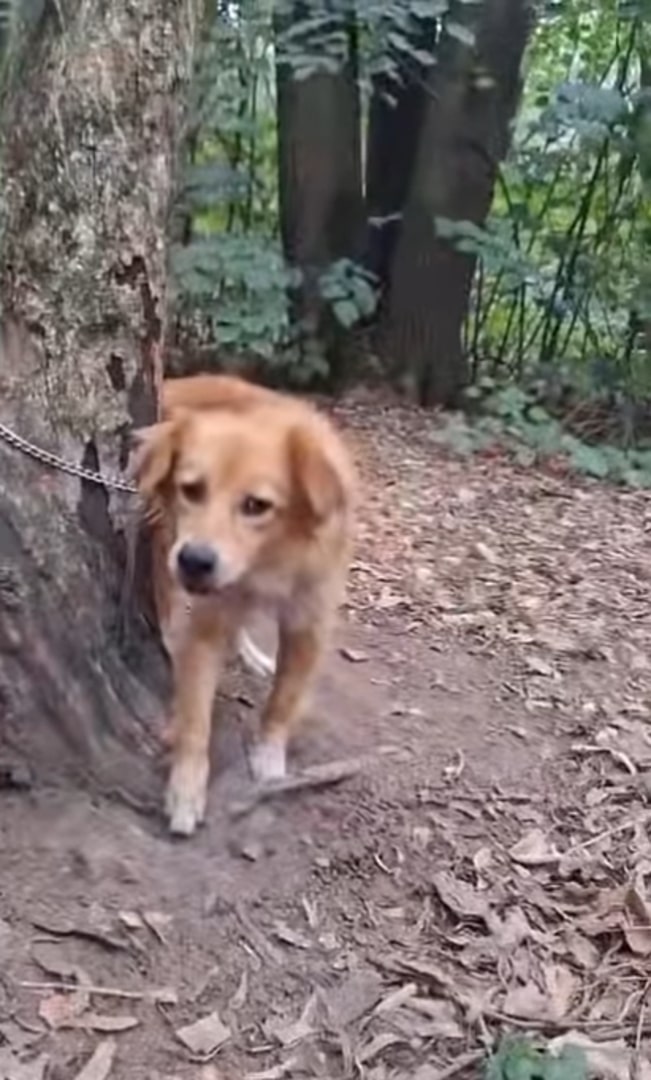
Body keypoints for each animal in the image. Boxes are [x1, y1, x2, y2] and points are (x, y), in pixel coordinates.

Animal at [132, 371, 356, 833]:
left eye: (257, 505)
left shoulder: (309, 623)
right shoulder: (206, 624)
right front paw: (186, 789)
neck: (267, 561)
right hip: (163, 541)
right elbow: (195, 720)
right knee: (166, 598)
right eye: (191, 489)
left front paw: (270, 756)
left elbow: (284, 699)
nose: (195, 561)